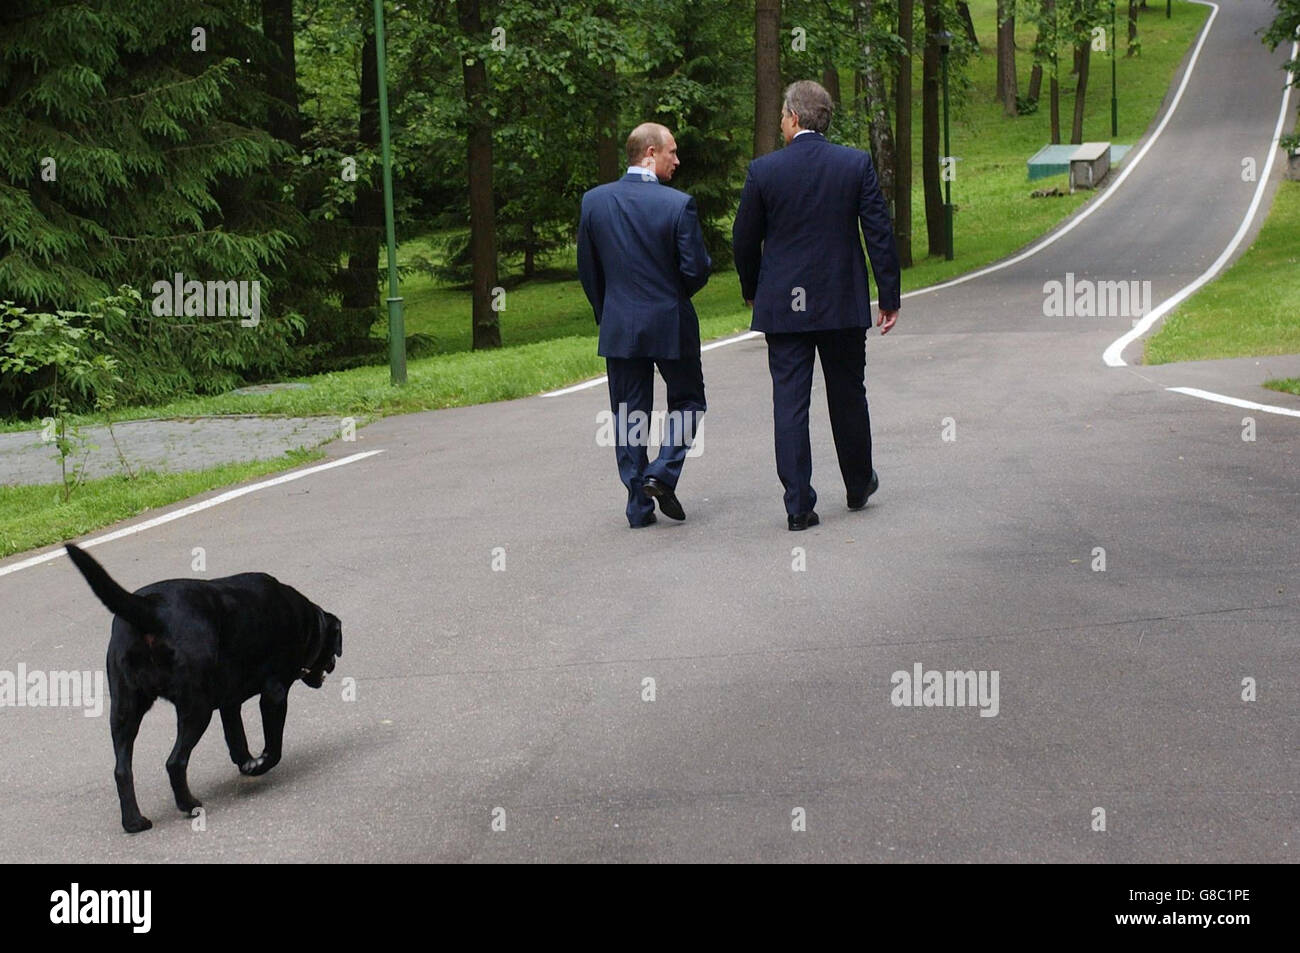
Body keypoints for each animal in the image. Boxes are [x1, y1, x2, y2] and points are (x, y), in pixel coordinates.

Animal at [65, 543, 340, 832]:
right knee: (175, 762)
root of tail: (148, 608)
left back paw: (134, 822)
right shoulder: (274, 694)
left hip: (125, 708)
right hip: (197, 708)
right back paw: (189, 804)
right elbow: (273, 746)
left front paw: (247, 763)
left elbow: (237, 739)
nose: (333, 664)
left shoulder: (230, 704)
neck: (306, 622)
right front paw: (259, 765)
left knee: (122, 770)